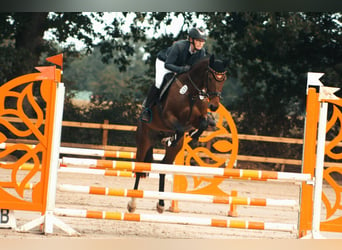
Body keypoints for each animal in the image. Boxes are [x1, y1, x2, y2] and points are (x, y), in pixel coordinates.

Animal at [127, 54, 228, 213]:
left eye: (223, 79)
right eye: (211, 78)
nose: (214, 106)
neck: (191, 93)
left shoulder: (198, 118)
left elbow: (203, 123)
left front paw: (193, 136)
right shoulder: (168, 116)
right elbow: (180, 129)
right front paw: (176, 136)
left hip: (172, 150)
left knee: (163, 166)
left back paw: (161, 203)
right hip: (144, 139)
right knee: (140, 166)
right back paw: (132, 203)